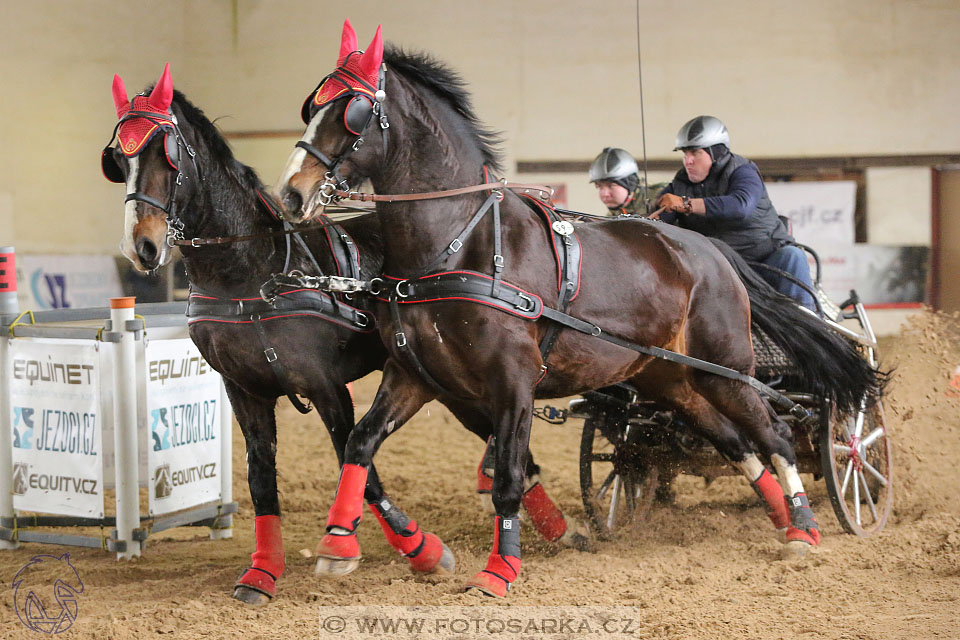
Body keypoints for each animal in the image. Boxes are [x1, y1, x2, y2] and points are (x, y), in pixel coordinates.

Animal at [274, 22, 880, 596]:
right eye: (311, 106)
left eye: (351, 112)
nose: (290, 195)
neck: (456, 241)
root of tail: (712, 251)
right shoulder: (414, 375)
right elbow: (360, 443)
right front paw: (338, 545)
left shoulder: (512, 381)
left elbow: (508, 477)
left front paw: (500, 570)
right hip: (671, 379)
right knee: (733, 442)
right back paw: (780, 517)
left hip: (726, 369)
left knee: (774, 434)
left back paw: (805, 528)